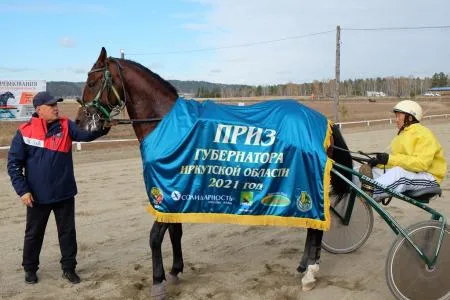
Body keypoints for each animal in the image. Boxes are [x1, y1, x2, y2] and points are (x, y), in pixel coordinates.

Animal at [75, 47, 354, 298]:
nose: (80, 121)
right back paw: (304, 264)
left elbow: (155, 236)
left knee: (315, 227)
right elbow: (175, 231)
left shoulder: (165, 191)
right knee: (312, 226)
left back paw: (310, 272)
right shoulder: (175, 187)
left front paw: (158, 281)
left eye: (91, 81)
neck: (167, 124)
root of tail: (323, 121)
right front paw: (175, 271)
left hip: (307, 182)